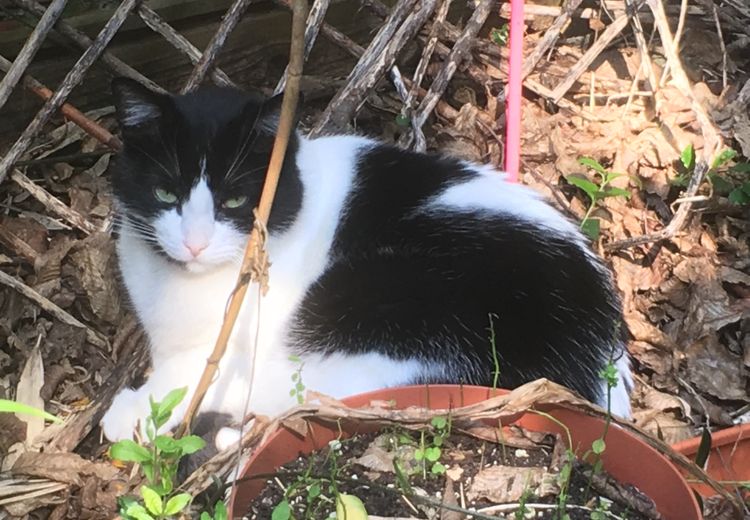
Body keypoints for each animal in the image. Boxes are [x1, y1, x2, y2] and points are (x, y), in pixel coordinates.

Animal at [101, 77, 636, 442]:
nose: (194, 243)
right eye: (165, 192)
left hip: (395, 301)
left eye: (235, 202)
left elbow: (197, 371)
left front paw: (139, 409)